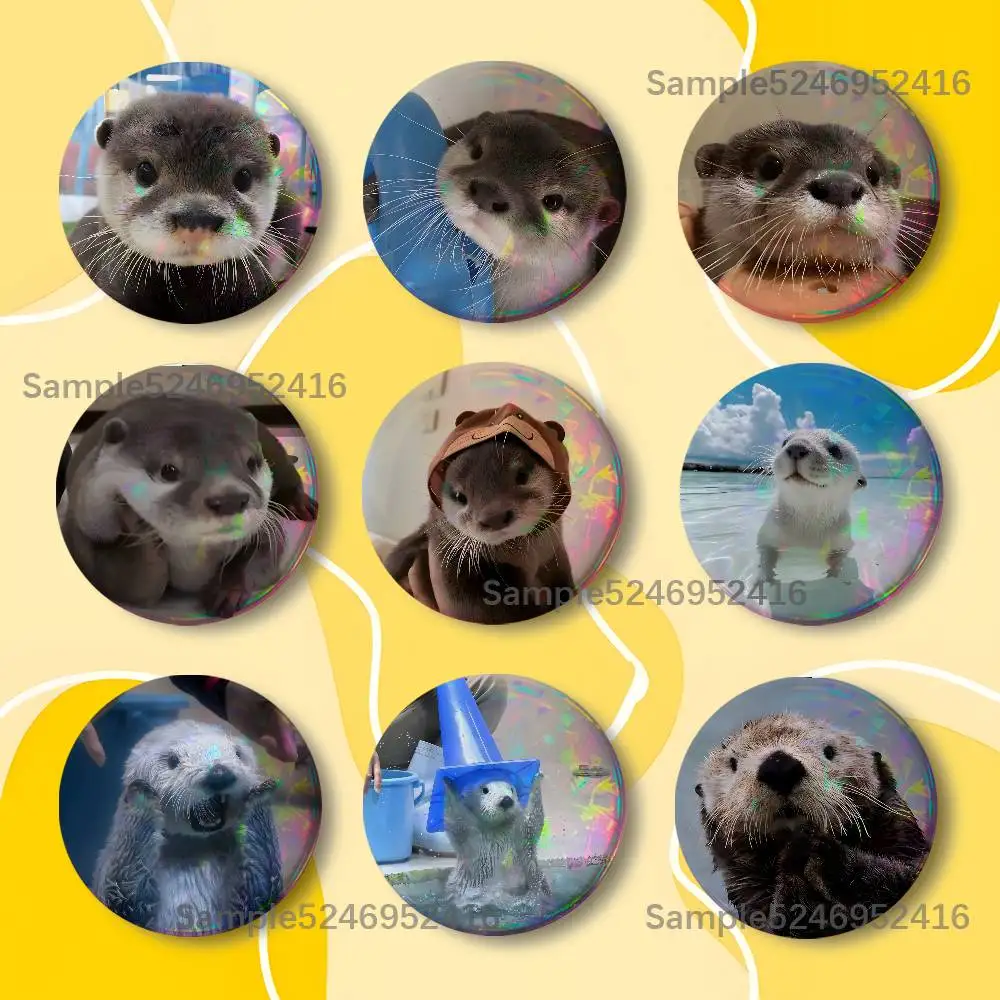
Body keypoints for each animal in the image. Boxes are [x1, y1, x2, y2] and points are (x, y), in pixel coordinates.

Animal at [60, 392, 318, 619]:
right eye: (168, 470)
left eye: (251, 462)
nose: (230, 499)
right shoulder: (88, 531)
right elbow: (137, 586)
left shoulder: (266, 531)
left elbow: (262, 560)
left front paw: (227, 591)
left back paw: (302, 504)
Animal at [92, 719, 283, 934]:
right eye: (172, 760)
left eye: (237, 753)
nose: (219, 773)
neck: (192, 850)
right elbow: (122, 895)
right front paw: (141, 795)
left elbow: (259, 894)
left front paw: (260, 792)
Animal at [443, 773, 550, 910]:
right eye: (485, 790)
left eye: (511, 789)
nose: (506, 800)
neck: (497, 829)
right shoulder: (471, 837)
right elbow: (457, 821)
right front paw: (448, 783)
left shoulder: (519, 832)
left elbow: (532, 821)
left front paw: (537, 778)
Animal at [694, 712, 931, 938]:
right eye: (733, 763)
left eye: (829, 751)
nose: (779, 767)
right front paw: (797, 858)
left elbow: (897, 877)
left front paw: (825, 853)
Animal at [757, 427, 866, 583]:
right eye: (785, 441)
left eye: (835, 450)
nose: (796, 448)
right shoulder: (767, 533)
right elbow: (765, 552)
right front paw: (766, 577)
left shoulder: (843, 542)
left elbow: (839, 558)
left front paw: (834, 575)